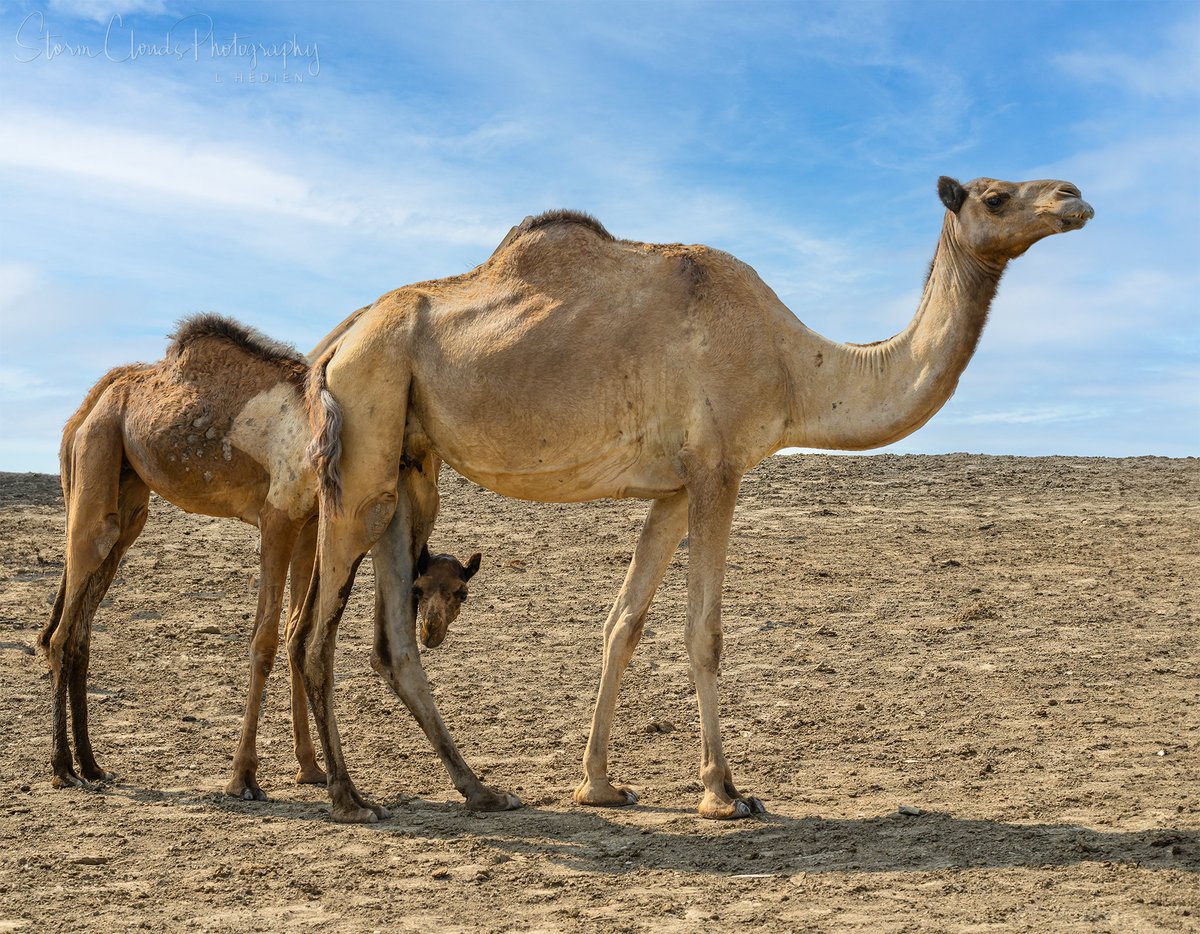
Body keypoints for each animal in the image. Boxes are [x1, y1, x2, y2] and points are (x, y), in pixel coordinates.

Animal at [42, 314, 482, 801]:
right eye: (419, 588)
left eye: (461, 592)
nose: (432, 630)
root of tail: (91, 401)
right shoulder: (278, 516)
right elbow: (266, 641)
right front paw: (244, 778)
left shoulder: (310, 523)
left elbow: (295, 635)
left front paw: (311, 768)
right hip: (97, 459)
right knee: (61, 629)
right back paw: (63, 769)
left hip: (129, 496)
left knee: (82, 626)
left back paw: (92, 765)